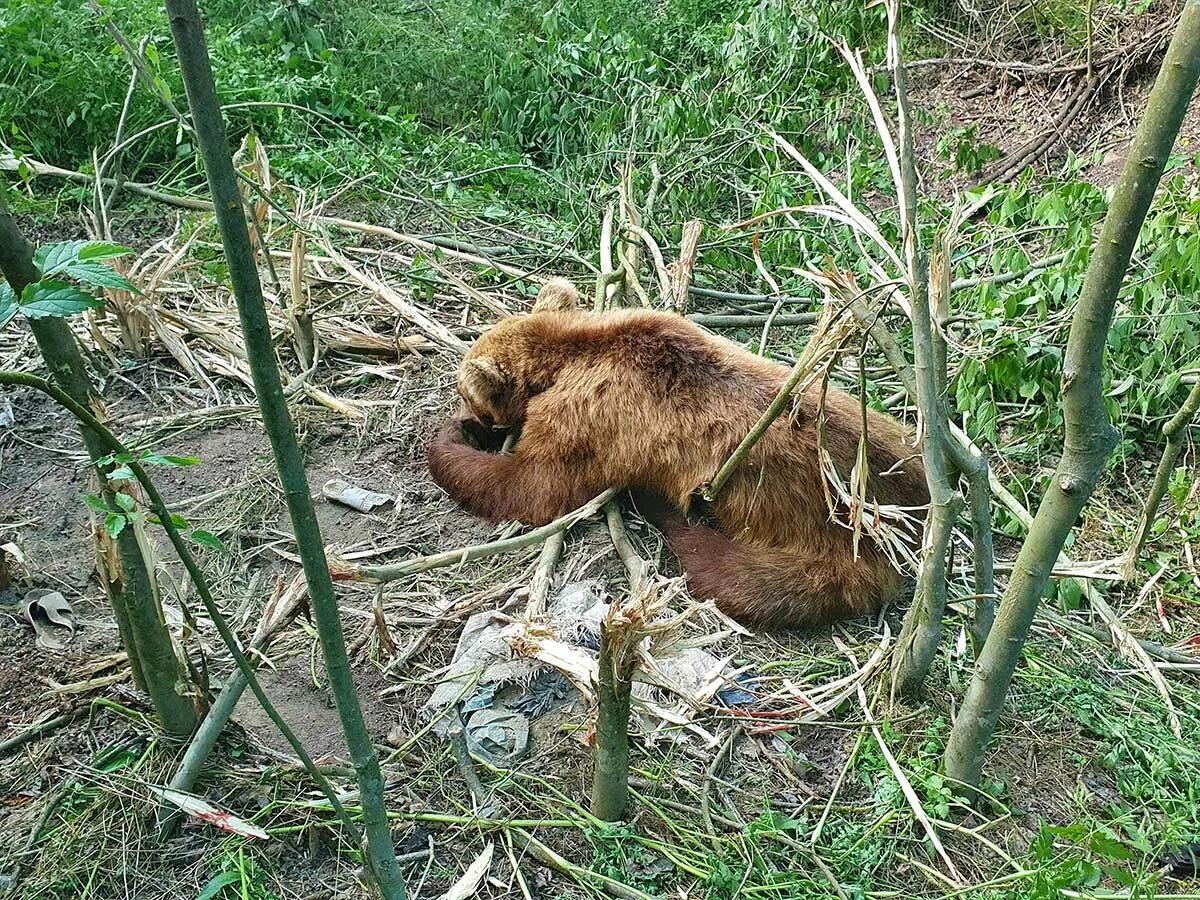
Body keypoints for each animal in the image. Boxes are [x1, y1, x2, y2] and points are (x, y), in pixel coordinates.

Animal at [427, 280, 931, 628]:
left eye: (466, 392)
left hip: (813, 529)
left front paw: (453, 437)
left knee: (741, 577)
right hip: (884, 426)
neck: (566, 356)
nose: (467, 409)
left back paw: (659, 507)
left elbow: (536, 487)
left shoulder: (587, 416)